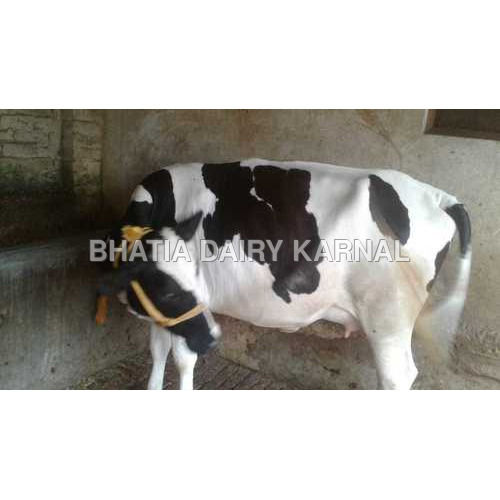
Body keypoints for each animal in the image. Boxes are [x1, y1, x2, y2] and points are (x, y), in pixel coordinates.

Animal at [96, 158, 468, 388]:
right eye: (167, 289)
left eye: (191, 278)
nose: (211, 340)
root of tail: (435, 195)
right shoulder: (166, 314)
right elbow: (157, 350)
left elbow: (182, 360)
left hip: (388, 314)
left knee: (397, 375)